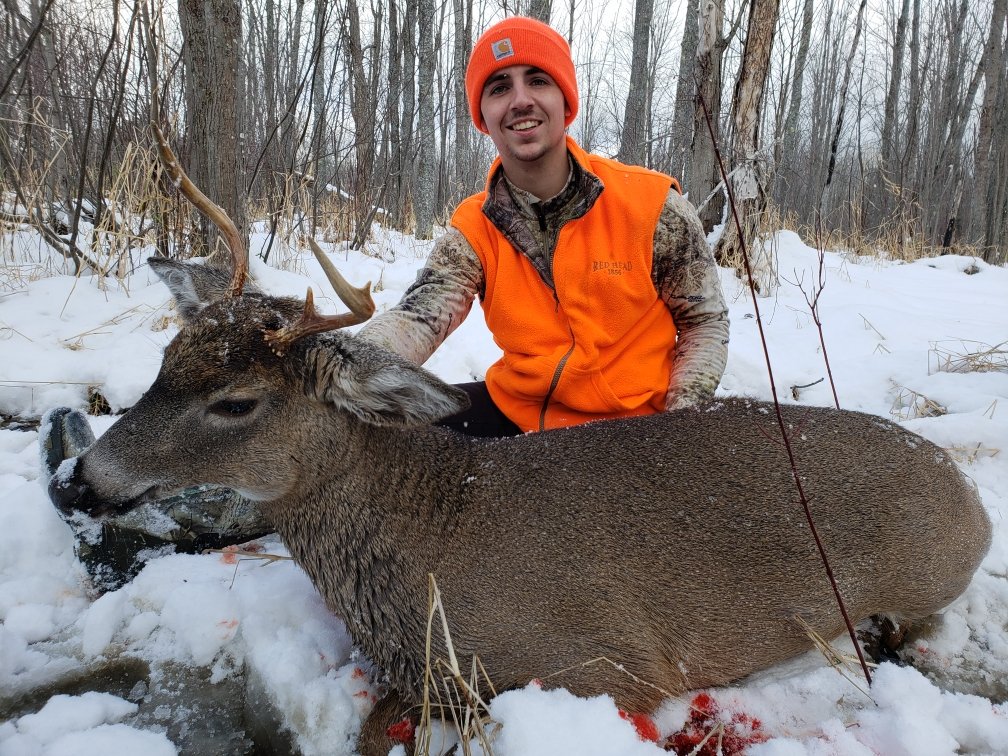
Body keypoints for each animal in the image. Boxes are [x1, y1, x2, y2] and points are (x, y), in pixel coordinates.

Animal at [48, 126, 992, 756]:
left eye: (236, 402)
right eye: (167, 359)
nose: (76, 480)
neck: (433, 535)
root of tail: (974, 498)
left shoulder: (613, 666)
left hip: (917, 581)